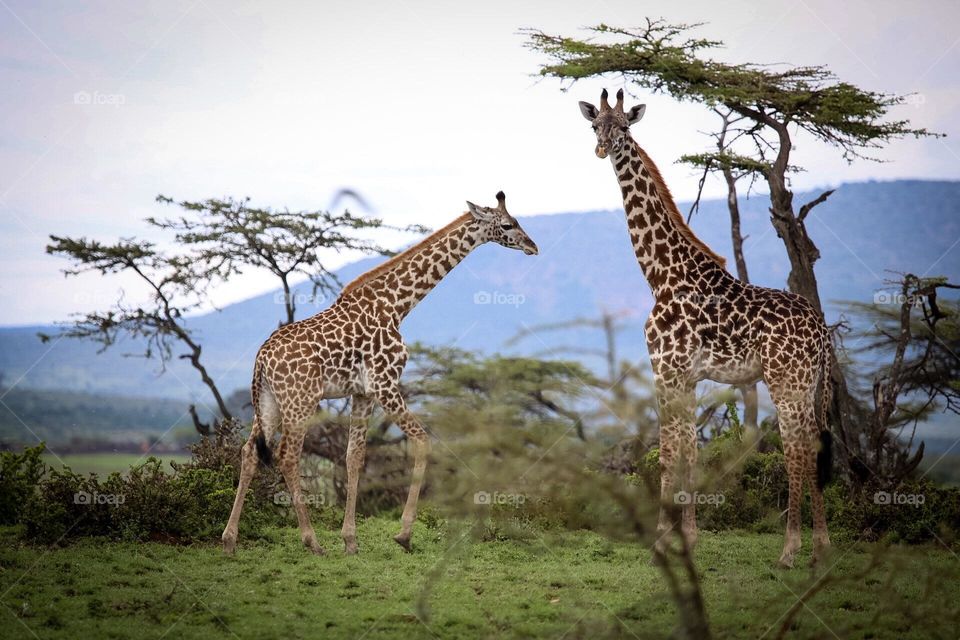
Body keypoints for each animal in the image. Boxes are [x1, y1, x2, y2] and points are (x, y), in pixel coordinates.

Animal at [221, 191, 539, 556]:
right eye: (508, 225)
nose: (533, 246)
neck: (397, 305)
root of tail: (261, 358)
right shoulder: (385, 383)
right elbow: (422, 441)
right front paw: (404, 534)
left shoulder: (361, 391)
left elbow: (354, 457)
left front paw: (350, 540)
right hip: (300, 400)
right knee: (287, 456)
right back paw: (312, 541)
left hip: (269, 402)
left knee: (249, 453)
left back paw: (229, 540)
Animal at [578, 89, 832, 567]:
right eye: (595, 125)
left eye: (624, 126)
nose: (602, 149)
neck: (661, 274)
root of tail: (823, 332)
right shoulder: (689, 377)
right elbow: (689, 452)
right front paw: (688, 539)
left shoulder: (665, 369)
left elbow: (667, 453)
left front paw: (661, 542)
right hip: (807, 382)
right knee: (812, 444)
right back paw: (822, 548)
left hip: (785, 380)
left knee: (796, 449)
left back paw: (790, 550)